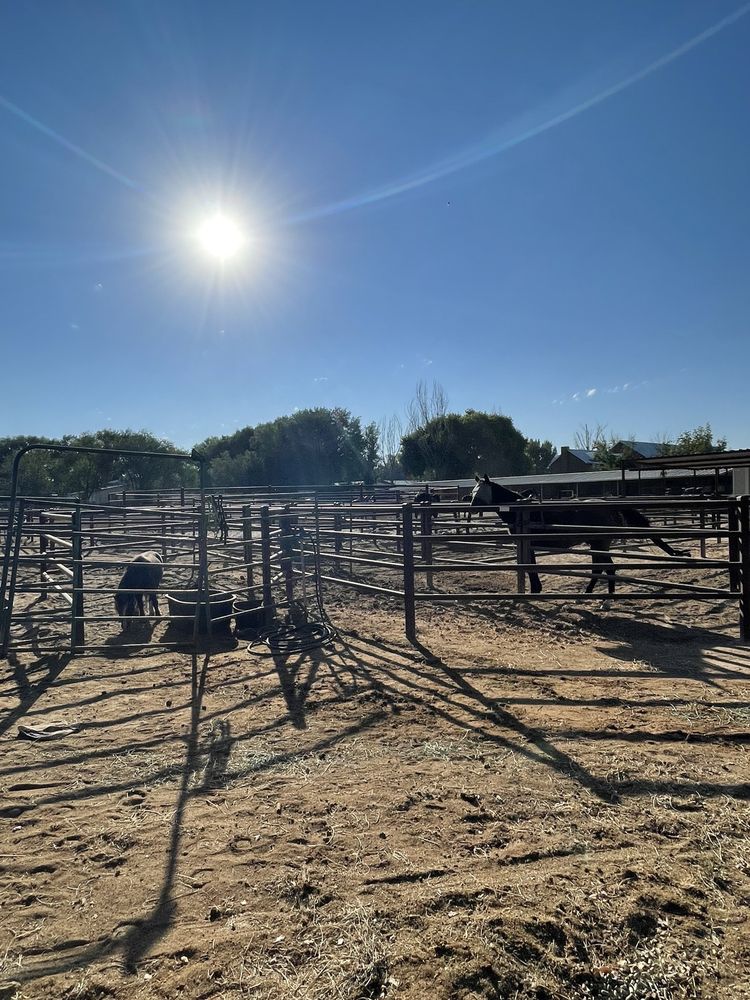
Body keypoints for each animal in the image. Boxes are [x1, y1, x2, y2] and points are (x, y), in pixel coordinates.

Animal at [469, 474, 687, 597]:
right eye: (473, 491)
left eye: (480, 492)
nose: (471, 507)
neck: (520, 510)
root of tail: (609, 507)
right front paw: (535, 588)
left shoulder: (527, 543)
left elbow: (530, 566)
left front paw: (535, 589)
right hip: (597, 544)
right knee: (602, 568)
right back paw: (594, 594)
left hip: (600, 543)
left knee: (606, 568)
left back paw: (602, 598)